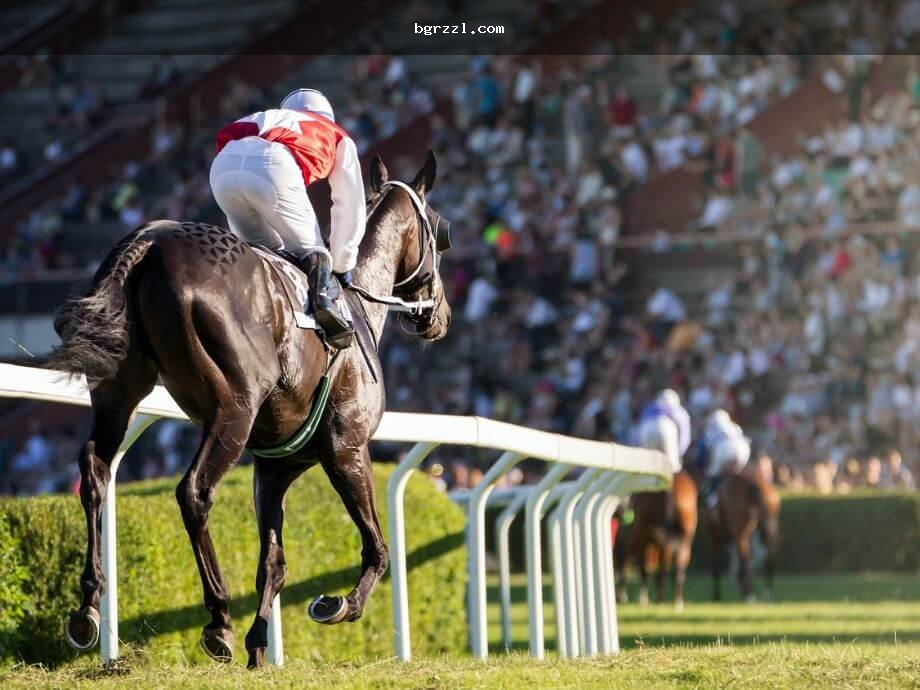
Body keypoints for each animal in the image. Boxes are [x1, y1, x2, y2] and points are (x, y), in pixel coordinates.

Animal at [48, 151, 452, 669]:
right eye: (440, 232)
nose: (440, 315)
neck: (358, 303)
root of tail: (150, 242)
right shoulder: (347, 447)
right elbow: (376, 547)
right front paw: (337, 604)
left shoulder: (274, 467)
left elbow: (273, 564)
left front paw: (259, 646)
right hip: (234, 408)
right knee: (194, 492)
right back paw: (218, 619)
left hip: (120, 389)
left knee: (96, 470)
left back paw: (87, 609)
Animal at [615, 471, 698, 611]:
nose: (618, 598)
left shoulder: (643, 539)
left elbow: (644, 566)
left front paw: (641, 599)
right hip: (684, 539)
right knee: (678, 569)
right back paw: (677, 602)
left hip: (644, 534)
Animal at [708, 469, 780, 602]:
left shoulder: (714, 534)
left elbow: (716, 565)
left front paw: (717, 596)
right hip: (769, 527)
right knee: (768, 556)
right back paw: (766, 593)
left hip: (740, 533)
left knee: (745, 557)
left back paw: (749, 594)